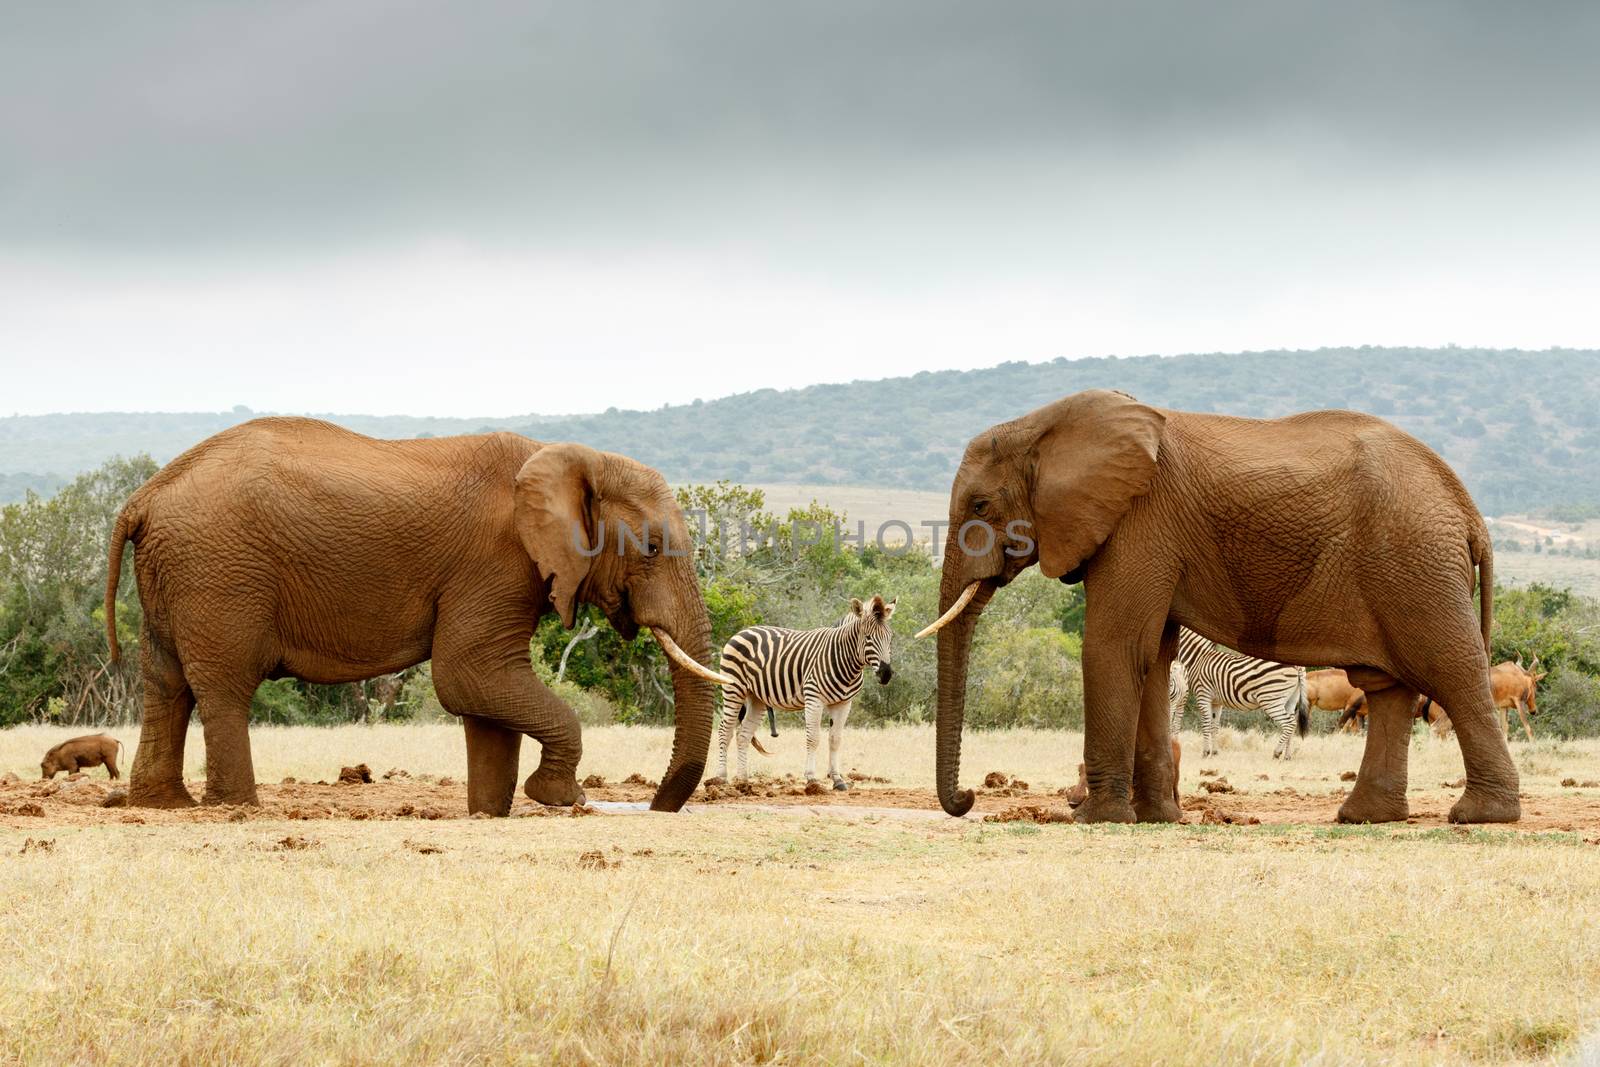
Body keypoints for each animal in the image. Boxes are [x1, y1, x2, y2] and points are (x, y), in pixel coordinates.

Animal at [100, 415, 726, 809]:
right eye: (651, 548)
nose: (657, 806)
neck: (575, 459)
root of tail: (143, 496)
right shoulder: (495, 562)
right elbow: (469, 676)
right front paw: (558, 799)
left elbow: (484, 694)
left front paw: (488, 812)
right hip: (219, 571)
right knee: (223, 685)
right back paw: (237, 807)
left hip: (178, 572)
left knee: (165, 682)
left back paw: (165, 805)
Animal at [716, 598, 896, 790]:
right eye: (868, 637)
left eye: (890, 638)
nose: (886, 674)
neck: (845, 661)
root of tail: (742, 631)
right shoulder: (814, 698)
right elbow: (813, 738)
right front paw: (811, 778)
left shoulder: (844, 703)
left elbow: (835, 739)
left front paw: (838, 780)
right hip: (733, 689)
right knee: (725, 730)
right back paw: (721, 778)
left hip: (756, 697)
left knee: (743, 735)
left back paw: (743, 780)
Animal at [1171, 627, 1305, 758]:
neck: (1198, 659)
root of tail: (1296, 666)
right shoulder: (1216, 702)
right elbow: (1214, 726)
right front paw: (1214, 753)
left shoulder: (1203, 695)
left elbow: (1206, 724)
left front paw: (1206, 752)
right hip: (1290, 700)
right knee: (1292, 723)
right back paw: (1287, 756)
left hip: (1270, 699)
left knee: (1289, 723)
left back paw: (1277, 753)